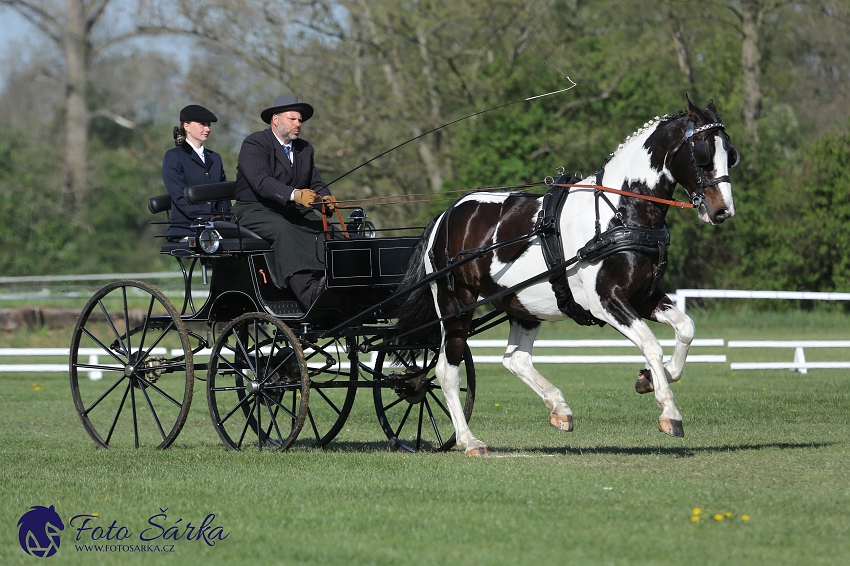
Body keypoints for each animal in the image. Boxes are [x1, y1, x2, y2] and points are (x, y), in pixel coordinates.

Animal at [394, 96, 740, 458]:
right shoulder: (607, 301)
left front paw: (652, 377)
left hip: (522, 304)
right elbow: (650, 344)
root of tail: (446, 215)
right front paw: (669, 411)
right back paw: (468, 440)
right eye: (702, 154)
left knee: (515, 360)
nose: (722, 211)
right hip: (455, 304)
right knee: (447, 370)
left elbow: (686, 328)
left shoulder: (642, 296)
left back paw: (559, 408)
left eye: (730, 153)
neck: (620, 212)